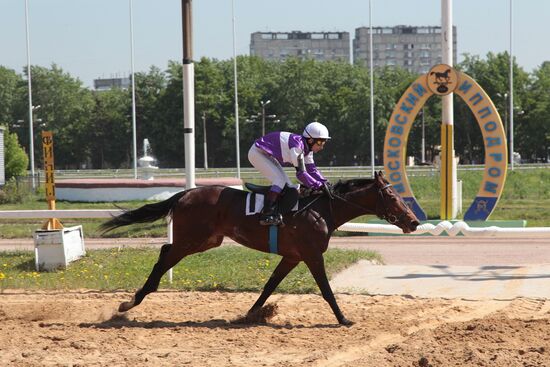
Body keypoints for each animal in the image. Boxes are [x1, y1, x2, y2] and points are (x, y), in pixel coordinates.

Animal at [102, 171, 422, 326]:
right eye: (393, 197)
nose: (414, 221)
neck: (320, 209)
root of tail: (185, 193)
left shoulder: (292, 257)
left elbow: (269, 286)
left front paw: (249, 315)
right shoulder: (311, 255)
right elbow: (326, 290)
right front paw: (343, 319)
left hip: (206, 240)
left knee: (165, 250)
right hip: (192, 239)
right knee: (164, 258)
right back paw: (131, 302)